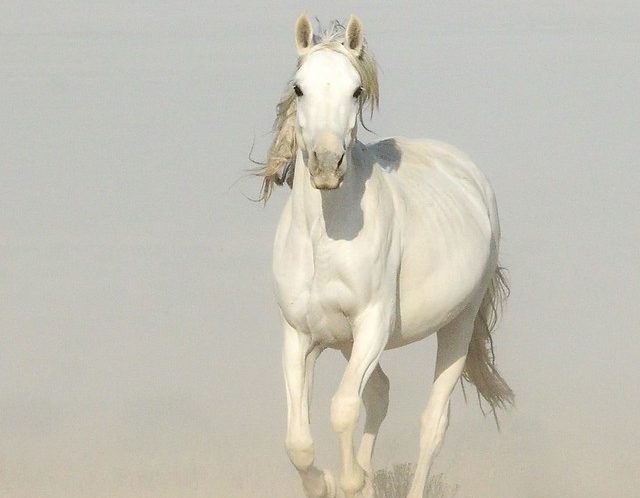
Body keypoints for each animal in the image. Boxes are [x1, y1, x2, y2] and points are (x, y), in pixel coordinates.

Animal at [256, 14, 513, 498]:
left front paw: (351, 479)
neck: (325, 238)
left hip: (457, 323)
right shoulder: (300, 335)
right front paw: (329, 483)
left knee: (432, 424)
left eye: (356, 90)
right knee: (379, 392)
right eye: (299, 88)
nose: (326, 164)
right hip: (345, 343)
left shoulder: (372, 324)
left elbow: (342, 408)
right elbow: (298, 441)